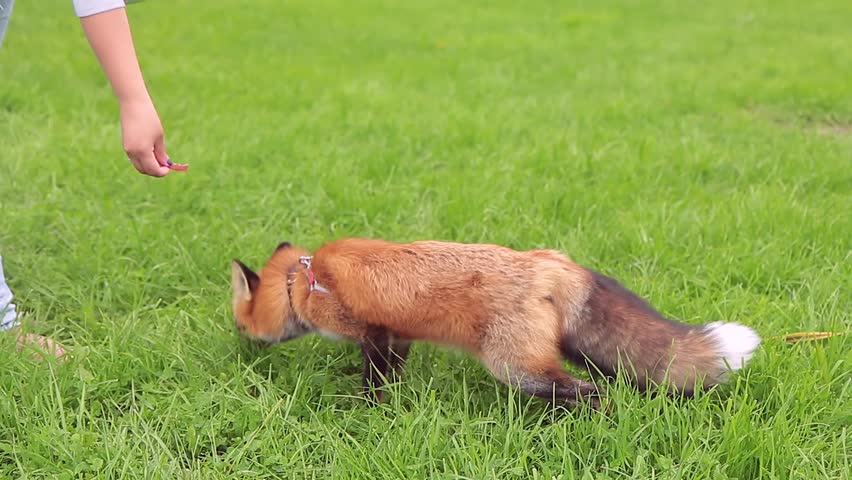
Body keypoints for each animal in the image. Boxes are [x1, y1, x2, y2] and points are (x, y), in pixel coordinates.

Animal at [230, 238, 761, 409]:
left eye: (238, 327)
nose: (240, 352)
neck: (304, 282)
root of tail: (548, 262)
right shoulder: (398, 336)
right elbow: (394, 375)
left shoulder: (372, 333)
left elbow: (373, 382)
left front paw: (367, 411)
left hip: (515, 368)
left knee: (591, 392)